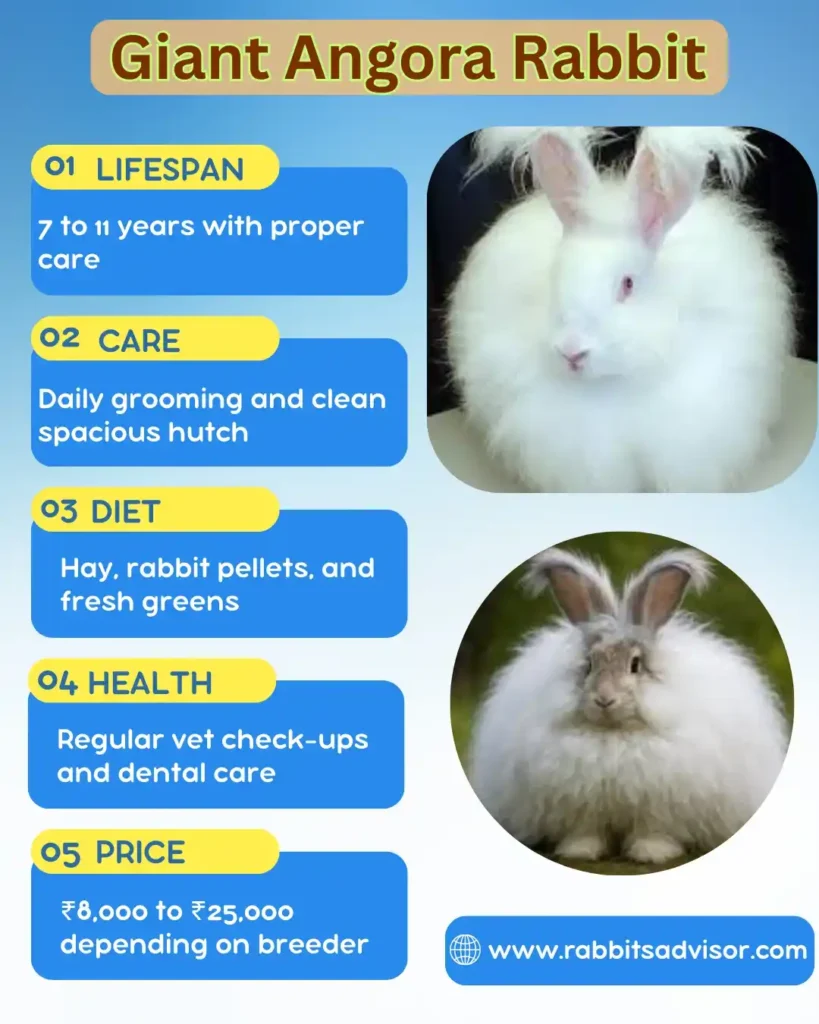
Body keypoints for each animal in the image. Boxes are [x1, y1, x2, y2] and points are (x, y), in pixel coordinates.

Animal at [467, 547, 789, 864]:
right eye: (589, 664)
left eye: (635, 665)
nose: (604, 699)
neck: (615, 735)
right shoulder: (581, 806)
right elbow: (585, 831)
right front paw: (580, 852)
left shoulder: (658, 805)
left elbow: (653, 830)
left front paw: (651, 854)